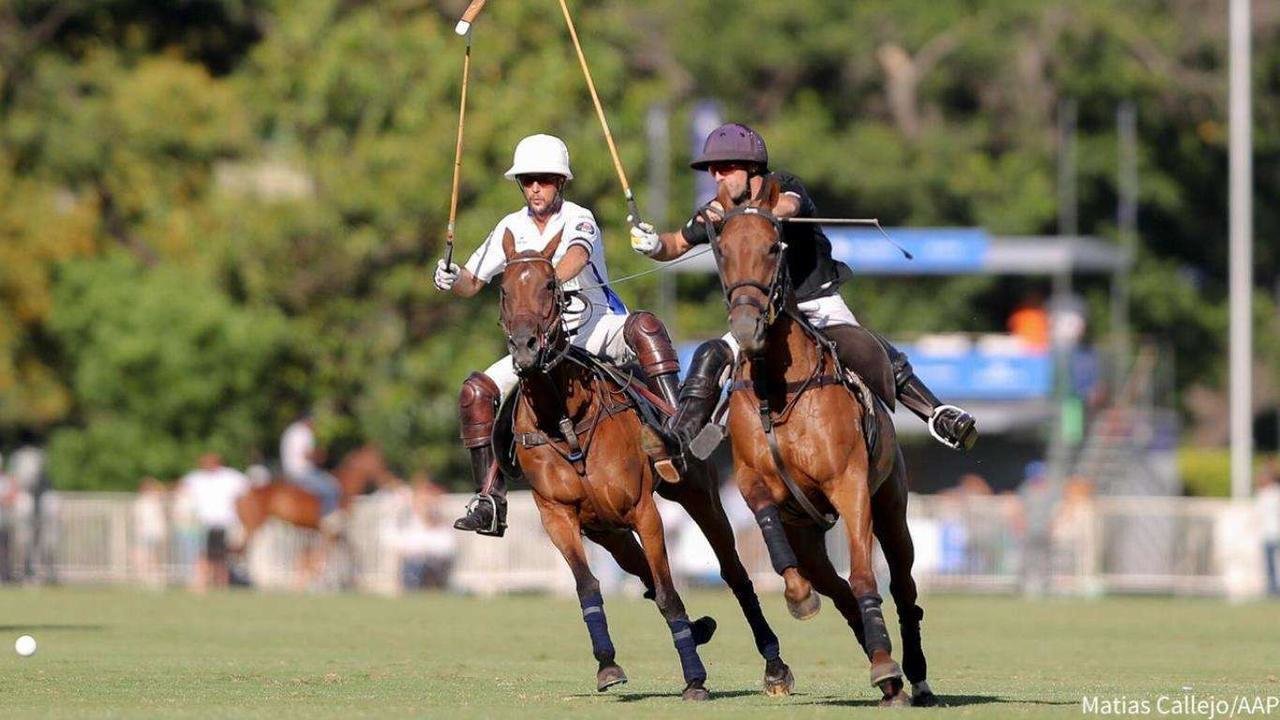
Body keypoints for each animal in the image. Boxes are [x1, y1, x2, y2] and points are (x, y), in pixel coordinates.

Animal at [496, 226, 788, 696]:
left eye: (551, 285)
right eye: (503, 289)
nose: (525, 349)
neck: (564, 418)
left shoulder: (642, 509)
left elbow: (669, 592)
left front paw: (694, 680)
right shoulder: (557, 515)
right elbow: (587, 586)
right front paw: (607, 664)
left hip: (699, 496)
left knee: (734, 573)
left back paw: (774, 665)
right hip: (605, 529)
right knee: (639, 572)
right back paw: (698, 628)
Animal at [701, 176, 942, 702]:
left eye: (775, 246)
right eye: (722, 251)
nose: (745, 327)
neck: (777, 386)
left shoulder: (849, 484)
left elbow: (866, 575)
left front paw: (888, 665)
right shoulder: (751, 482)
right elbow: (774, 542)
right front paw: (798, 599)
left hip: (892, 504)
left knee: (902, 587)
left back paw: (911, 674)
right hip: (809, 535)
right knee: (837, 589)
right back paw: (881, 661)